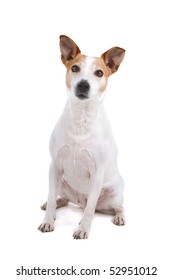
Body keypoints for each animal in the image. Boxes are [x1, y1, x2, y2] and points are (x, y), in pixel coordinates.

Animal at [38, 35, 125, 238]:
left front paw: (83, 228)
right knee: (60, 198)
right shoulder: (55, 165)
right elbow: (51, 197)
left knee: (112, 207)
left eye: (99, 73)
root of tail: (80, 201)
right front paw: (48, 220)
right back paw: (53, 205)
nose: (83, 84)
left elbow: (90, 209)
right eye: (75, 68)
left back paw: (118, 217)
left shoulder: (97, 172)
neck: (81, 118)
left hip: (115, 194)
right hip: (61, 181)